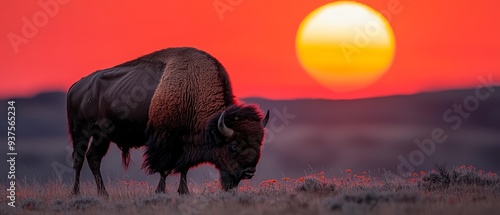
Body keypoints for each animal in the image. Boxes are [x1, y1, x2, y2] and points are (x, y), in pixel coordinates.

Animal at [68, 47, 270, 197]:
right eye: (234, 145)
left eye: (260, 143)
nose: (249, 172)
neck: (193, 91)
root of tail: (76, 86)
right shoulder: (165, 140)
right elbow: (164, 168)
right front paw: (160, 191)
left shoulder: (185, 144)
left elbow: (184, 168)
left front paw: (183, 192)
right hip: (82, 132)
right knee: (79, 158)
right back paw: (76, 193)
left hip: (103, 136)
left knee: (93, 158)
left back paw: (104, 194)